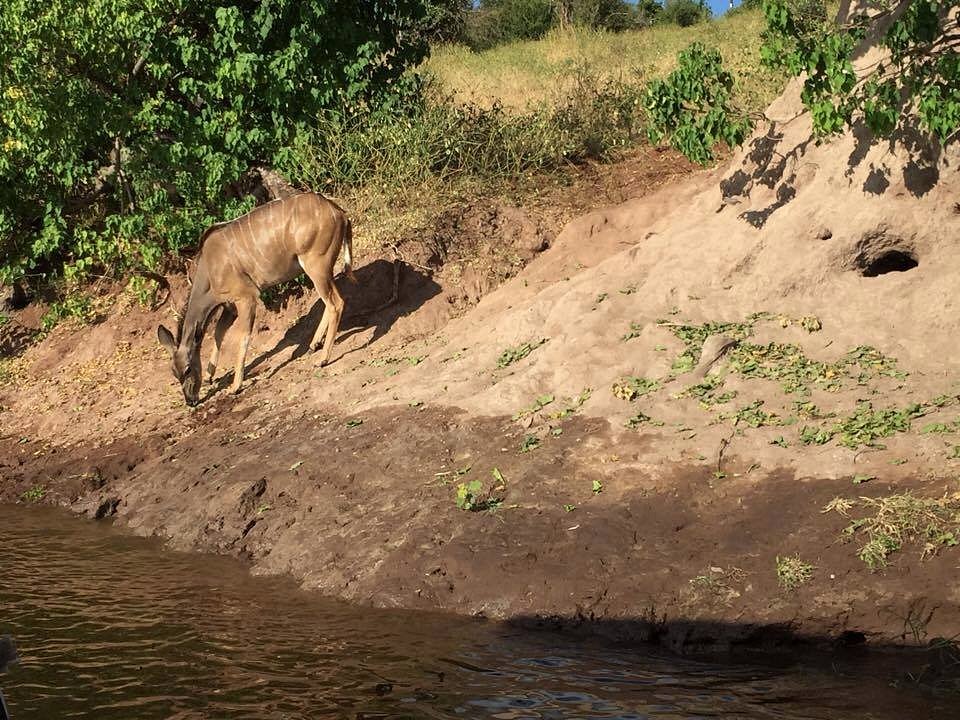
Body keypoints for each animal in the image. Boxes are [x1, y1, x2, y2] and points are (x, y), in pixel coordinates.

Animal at [161, 191, 356, 404]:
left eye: (187, 369)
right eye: (174, 373)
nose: (190, 400)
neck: (209, 270)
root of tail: (340, 213)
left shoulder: (246, 297)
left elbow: (243, 336)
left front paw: (235, 387)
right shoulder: (229, 306)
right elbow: (219, 333)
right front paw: (210, 377)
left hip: (316, 266)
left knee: (336, 303)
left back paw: (322, 359)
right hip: (322, 270)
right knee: (331, 300)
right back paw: (314, 345)